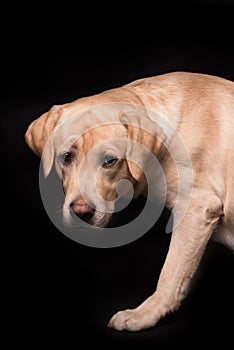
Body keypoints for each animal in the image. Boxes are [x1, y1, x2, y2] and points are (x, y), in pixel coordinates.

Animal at [24, 72, 234, 330]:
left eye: (110, 160)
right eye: (66, 157)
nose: (81, 212)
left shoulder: (197, 209)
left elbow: (170, 274)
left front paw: (145, 314)